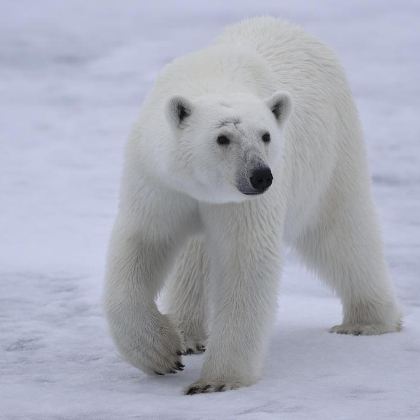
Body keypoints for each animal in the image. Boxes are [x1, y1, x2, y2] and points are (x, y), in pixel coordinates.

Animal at [103, 18, 402, 396]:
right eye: (222, 138)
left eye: (266, 135)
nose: (260, 176)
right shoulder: (160, 181)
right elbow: (143, 244)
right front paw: (162, 352)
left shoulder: (245, 203)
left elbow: (245, 260)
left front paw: (216, 382)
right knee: (194, 260)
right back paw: (189, 334)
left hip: (332, 153)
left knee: (342, 233)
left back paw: (366, 321)